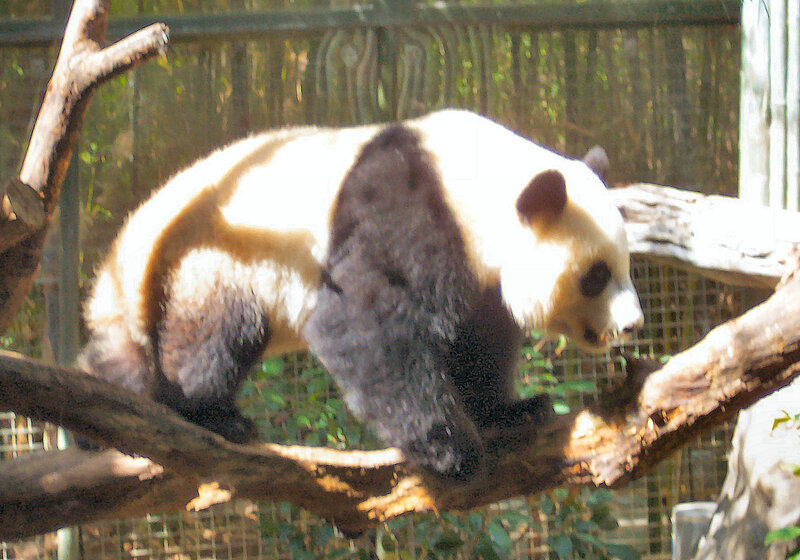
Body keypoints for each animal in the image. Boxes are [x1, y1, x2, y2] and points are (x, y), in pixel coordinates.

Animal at [78, 110, 643, 481]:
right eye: (596, 275)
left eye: (625, 266)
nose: (632, 324)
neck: (483, 183)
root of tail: (121, 265)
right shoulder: (409, 210)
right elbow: (365, 322)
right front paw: (453, 450)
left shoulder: (480, 276)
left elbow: (480, 344)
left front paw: (512, 410)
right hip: (215, 265)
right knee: (211, 340)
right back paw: (212, 416)